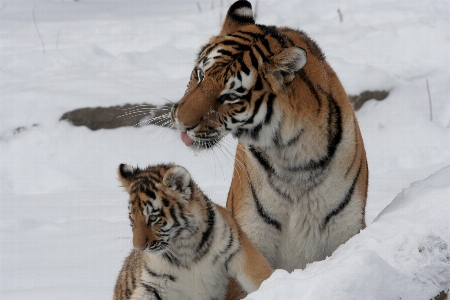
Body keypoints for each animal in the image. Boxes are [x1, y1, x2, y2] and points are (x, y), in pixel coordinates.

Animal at [171, 0, 368, 296]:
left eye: (230, 96)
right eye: (200, 75)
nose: (181, 123)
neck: (293, 155)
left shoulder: (346, 230)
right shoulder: (249, 239)